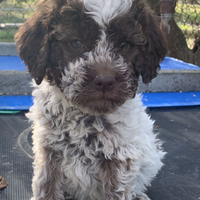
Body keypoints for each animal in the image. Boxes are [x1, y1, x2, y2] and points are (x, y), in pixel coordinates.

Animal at [14, 0, 167, 200]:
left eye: (125, 45)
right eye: (76, 43)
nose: (105, 81)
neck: (85, 116)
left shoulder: (118, 158)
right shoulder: (49, 151)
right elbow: (47, 188)